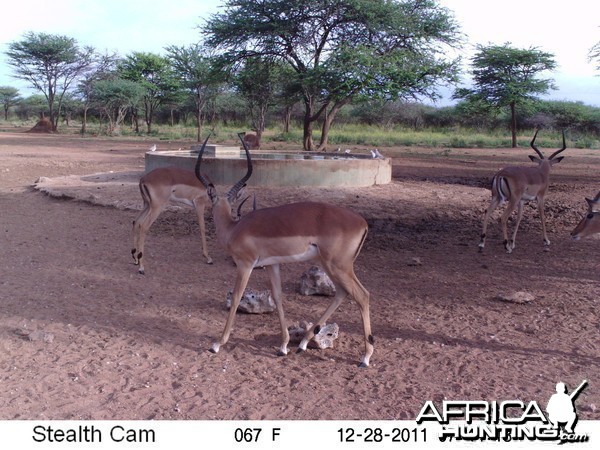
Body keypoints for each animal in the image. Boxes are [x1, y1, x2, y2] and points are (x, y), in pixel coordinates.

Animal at [195, 133, 372, 366]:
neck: (234, 228)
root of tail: (363, 222)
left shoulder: (245, 264)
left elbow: (236, 297)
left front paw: (216, 344)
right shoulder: (272, 264)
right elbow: (278, 297)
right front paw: (283, 346)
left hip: (338, 266)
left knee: (362, 295)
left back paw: (365, 358)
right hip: (330, 265)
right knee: (342, 293)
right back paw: (303, 344)